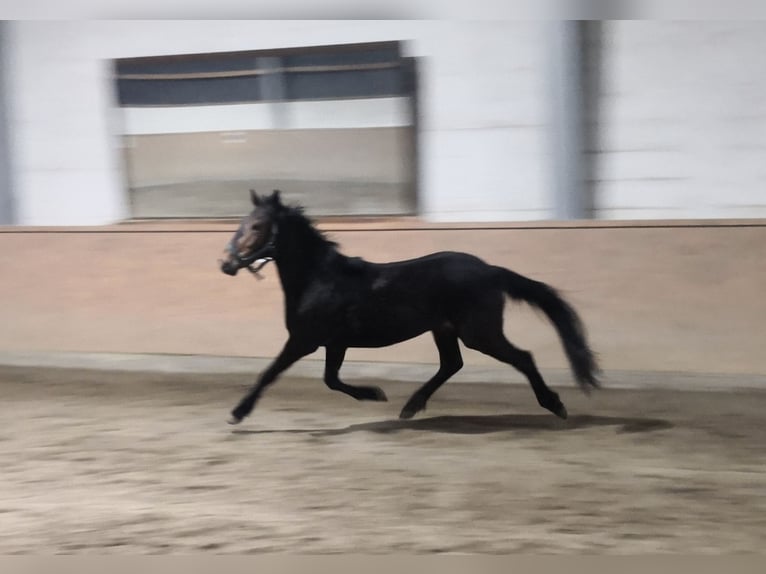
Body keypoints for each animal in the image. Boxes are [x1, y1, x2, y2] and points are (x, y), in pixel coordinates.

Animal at [220, 189, 600, 425]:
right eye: (240, 224)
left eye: (257, 226)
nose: (227, 264)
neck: (319, 278)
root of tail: (491, 270)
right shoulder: (334, 343)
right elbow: (331, 379)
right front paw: (374, 394)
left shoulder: (305, 340)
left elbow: (271, 373)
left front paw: (237, 413)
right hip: (444, 329)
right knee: (452, 364)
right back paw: (411, 406)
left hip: (479, 333)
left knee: (522, 357)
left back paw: (555, 405)